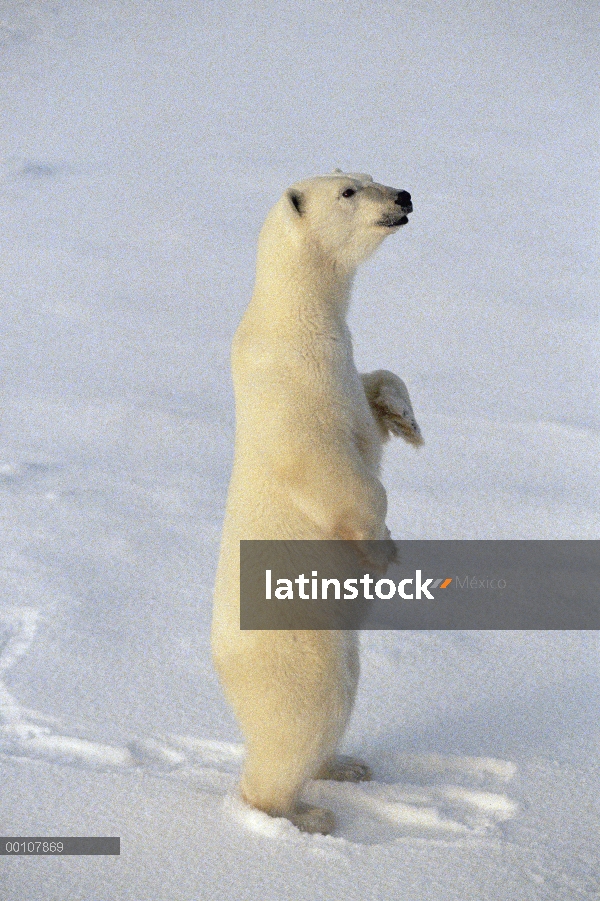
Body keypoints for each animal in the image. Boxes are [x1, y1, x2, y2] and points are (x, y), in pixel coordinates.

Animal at [211, 171, 422, 836]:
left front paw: (407, 419)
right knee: (304, 717)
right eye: (350, 191)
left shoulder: (341, 366)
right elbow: (335, 472)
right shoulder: (297, 383)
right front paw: (383, 549)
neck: (292, 320)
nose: (403, 196)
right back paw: (304, 813)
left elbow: (376, 393)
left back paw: (348, 765)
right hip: (297, 649)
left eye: (372, 174)